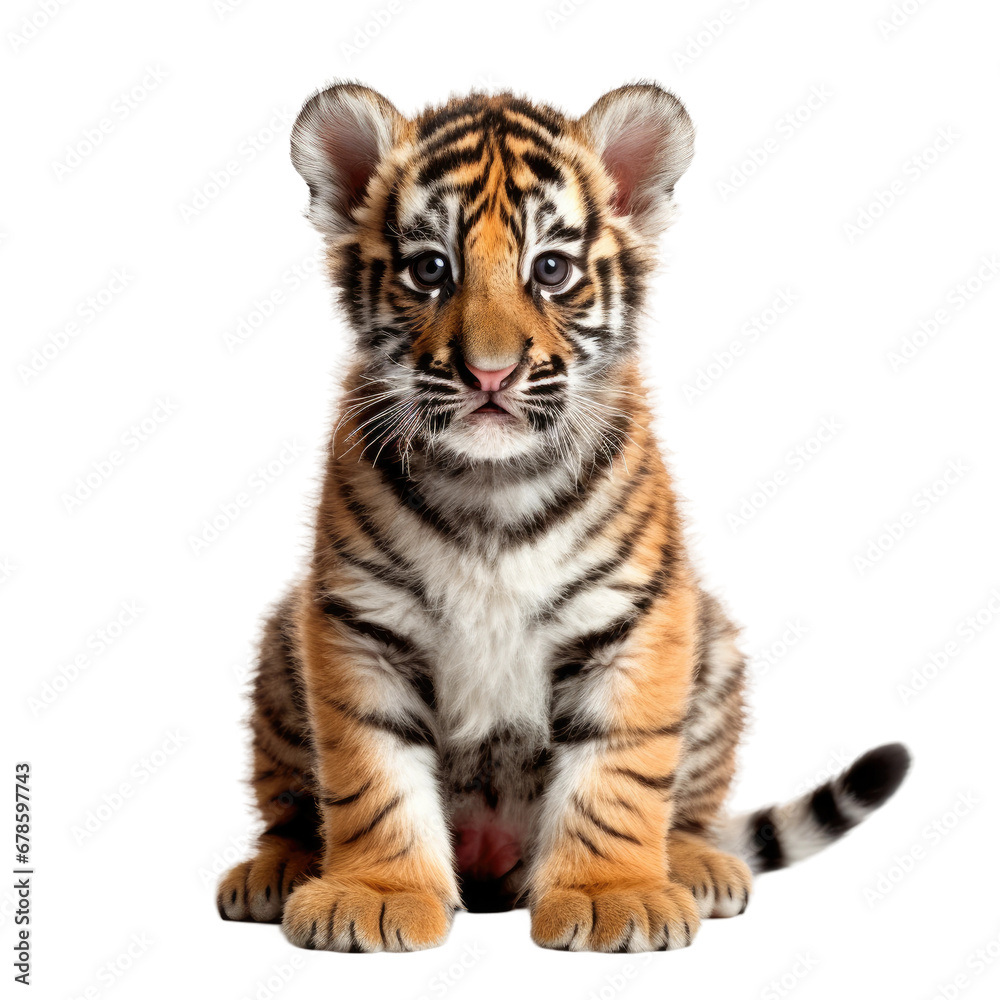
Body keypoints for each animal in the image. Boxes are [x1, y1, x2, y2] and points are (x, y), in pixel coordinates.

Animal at [216, 81, 911, 953]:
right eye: (430, 269)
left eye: (550, 269)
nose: (488, 373)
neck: (491, 484)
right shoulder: (358, 621)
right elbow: (371, 776)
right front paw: (373, 893)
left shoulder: (635, 621)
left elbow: (618, 775)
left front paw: (617, 897)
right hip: (283, 643)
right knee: (289, 806)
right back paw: (276, 871)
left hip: (711, 645)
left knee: (689, 808)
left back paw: (694, 866)